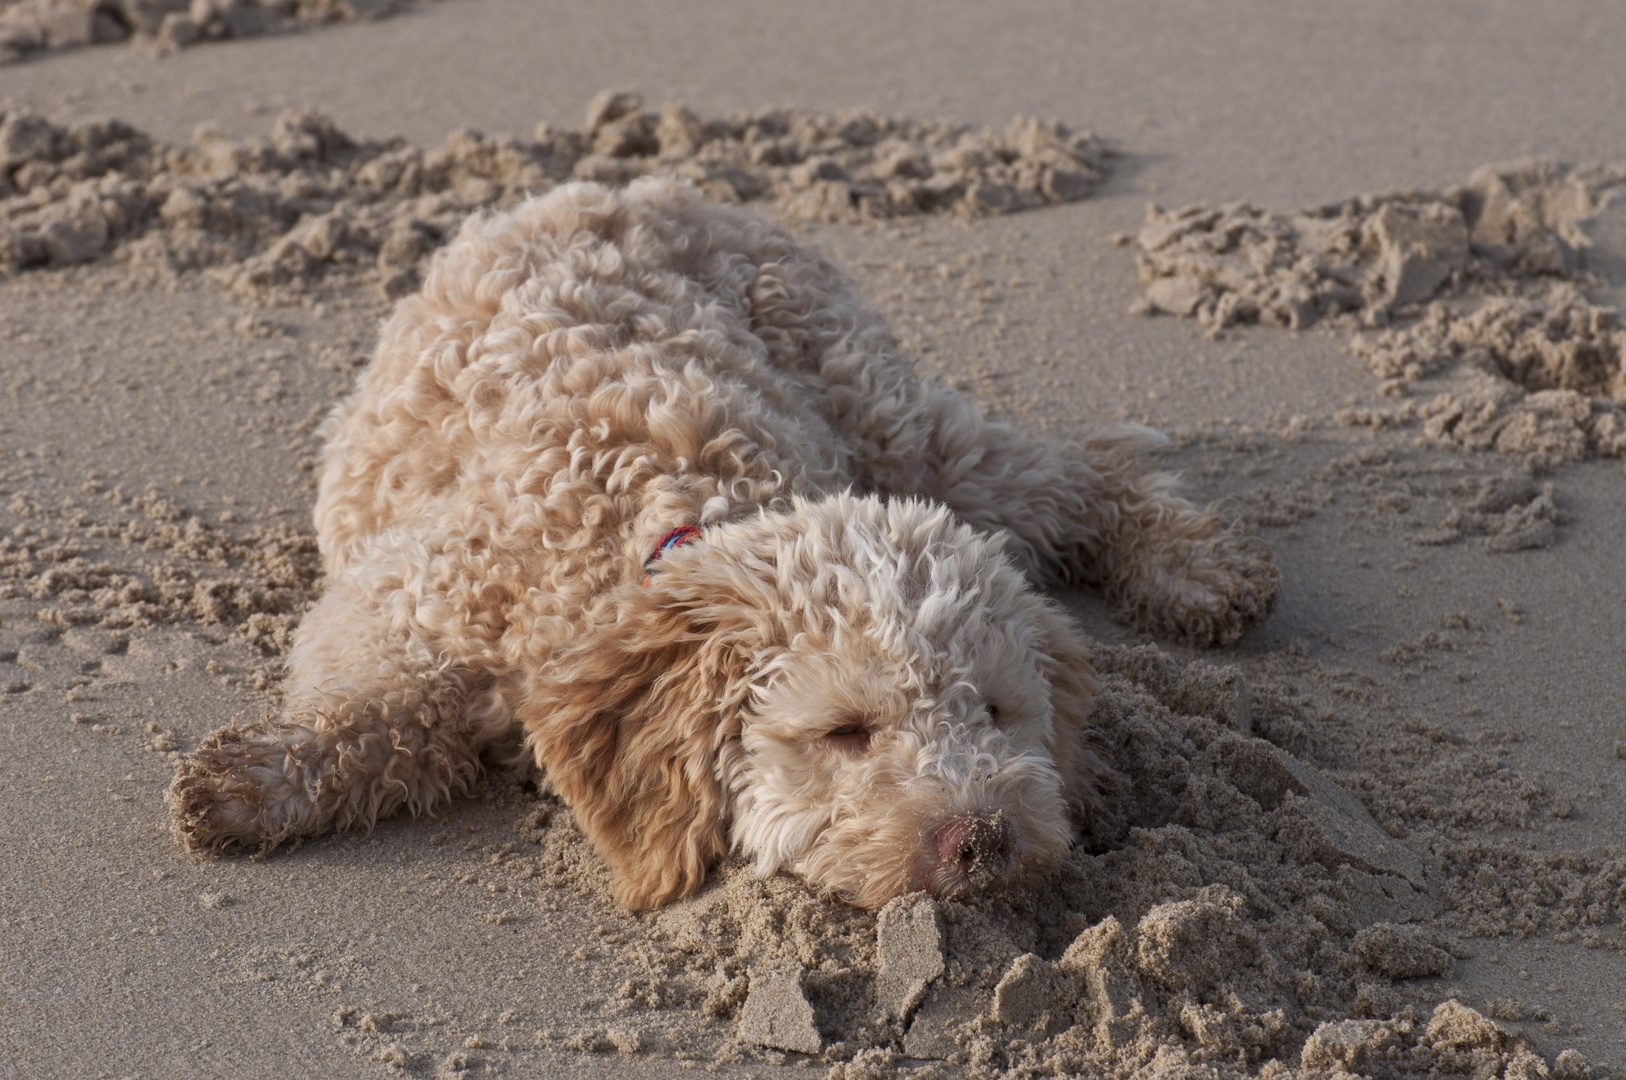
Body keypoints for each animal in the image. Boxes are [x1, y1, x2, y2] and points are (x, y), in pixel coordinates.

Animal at [168, 177, 1281, 910]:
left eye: (999, 712)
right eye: (844, 731)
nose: (985, 838)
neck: (665, 519)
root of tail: (634, 183)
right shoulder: (411, 593)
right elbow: (375, 718)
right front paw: (255, 781)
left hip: (883, 414)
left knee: (1075, 468)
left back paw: (1191, 565)